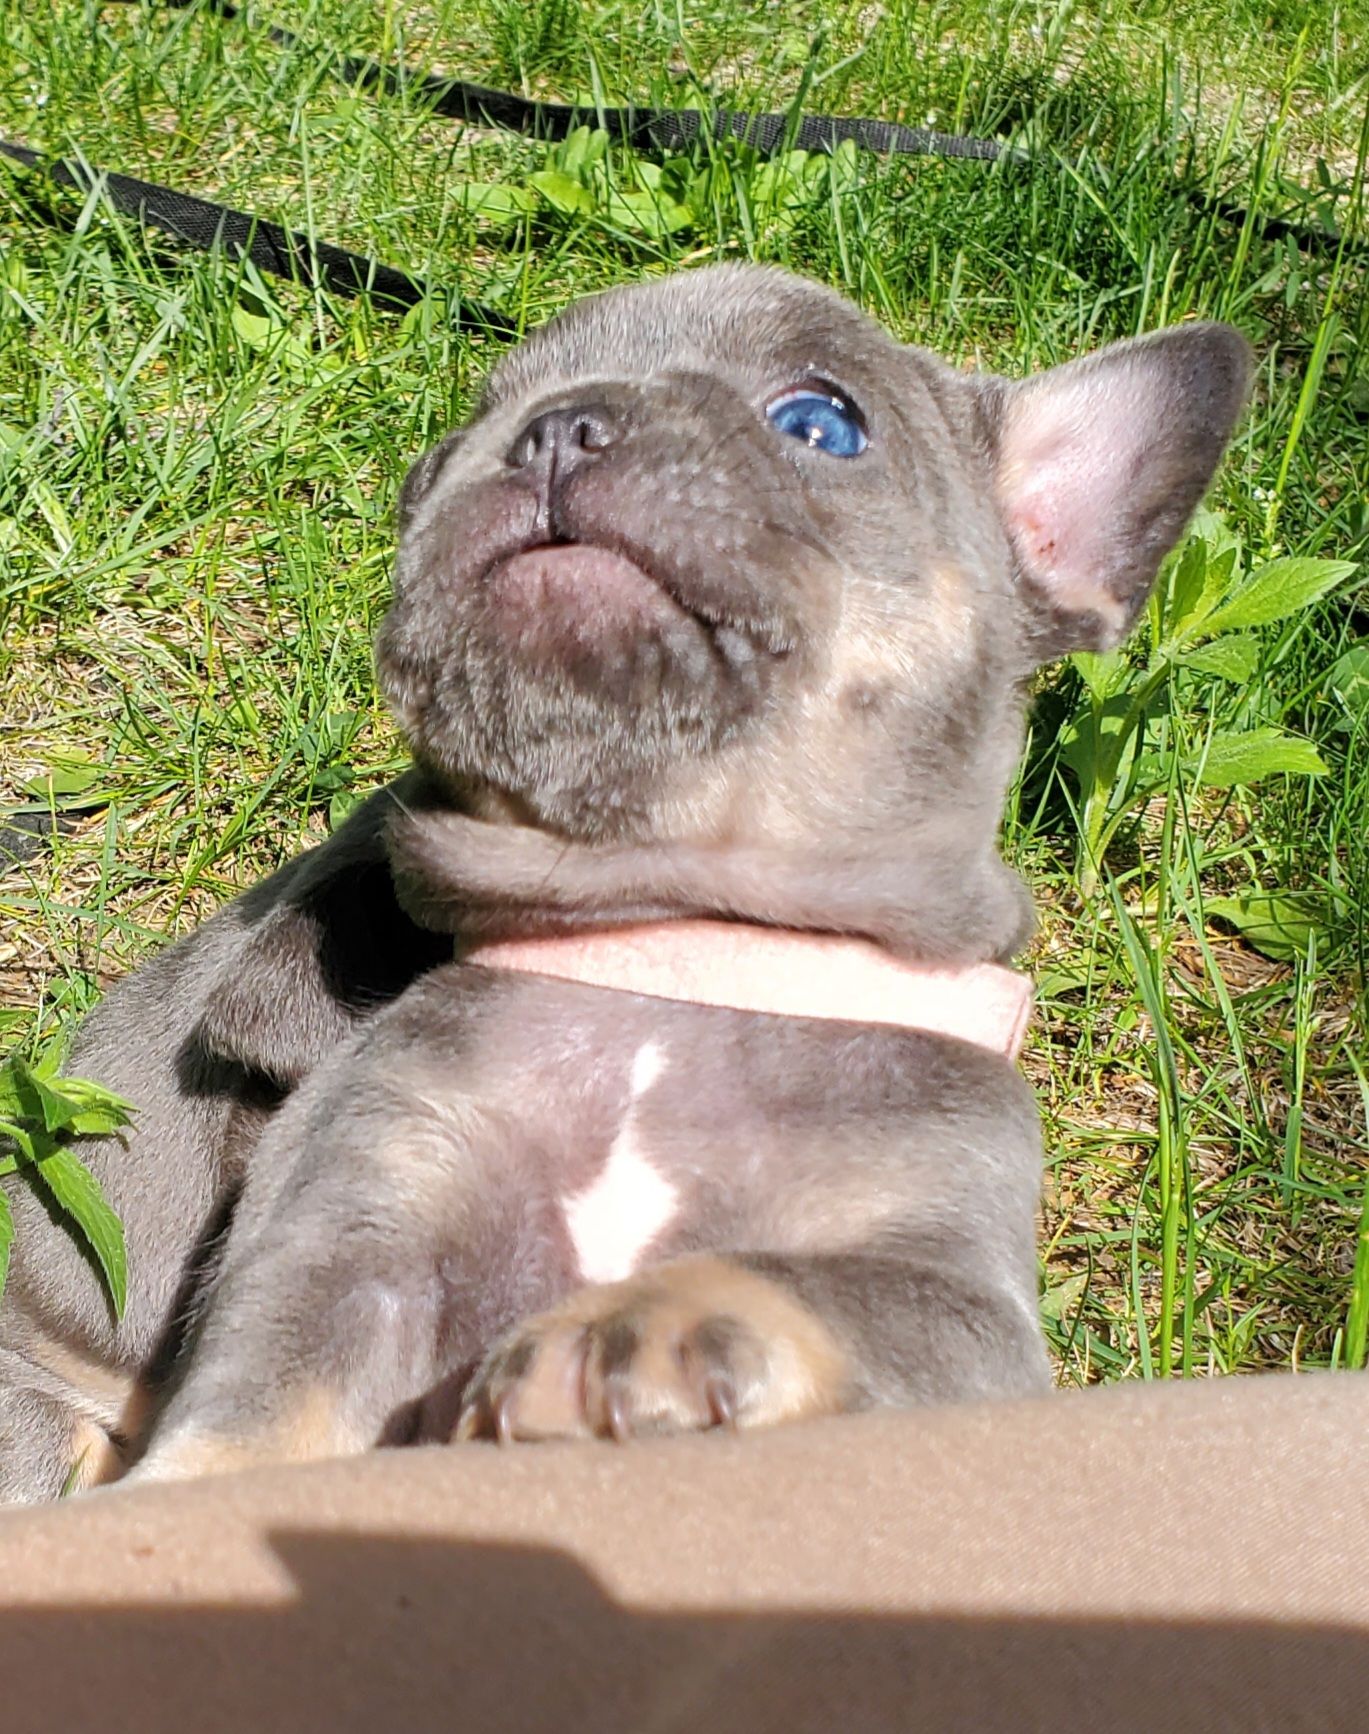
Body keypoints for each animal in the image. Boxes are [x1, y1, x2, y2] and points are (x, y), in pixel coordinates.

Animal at [101, 263, 1247, 1484]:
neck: (673, 935)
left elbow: (817, 1282)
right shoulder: (351, 1230)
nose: (556, 426)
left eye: (822, 423)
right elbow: (253, 1414)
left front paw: (640, 1324)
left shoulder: (964, 1308)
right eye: (446, 447)